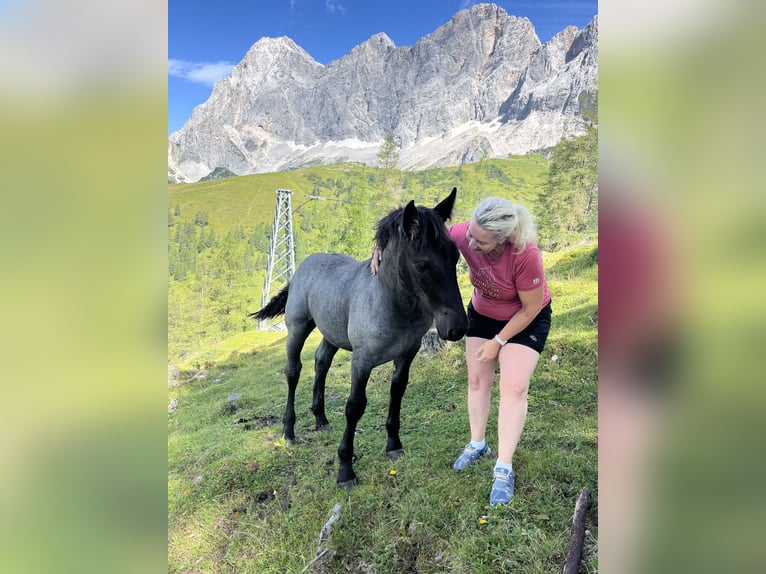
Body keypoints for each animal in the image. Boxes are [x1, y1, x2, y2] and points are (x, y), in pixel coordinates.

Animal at [252, 189, 468, 490]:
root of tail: (303, 266)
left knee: (321, 363)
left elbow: (397, 392)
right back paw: (289, 431)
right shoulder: (362, 360)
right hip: (297, 329)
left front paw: (393, 445)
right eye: (421, 265)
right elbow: (354, 406)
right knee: (293, 372)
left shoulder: (407, 353)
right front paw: (345, 469)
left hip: (331, 334)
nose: (457, 327)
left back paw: (320, 418)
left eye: (455, 255)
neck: (390, 303)